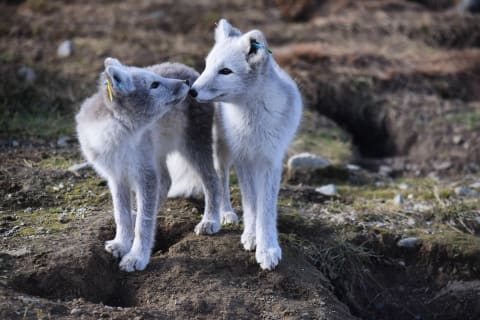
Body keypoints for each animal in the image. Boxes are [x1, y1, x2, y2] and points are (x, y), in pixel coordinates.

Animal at [76, 58, 230, 272]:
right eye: (154, 84)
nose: (186, 84)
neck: (119, 134)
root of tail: (190, 70)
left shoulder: (145, 175)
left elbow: (144, 223)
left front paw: (136, 257)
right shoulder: (117, 177)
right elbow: (121, 215)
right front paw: (121, 243)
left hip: (193, 147)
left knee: (212, 181)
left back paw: (210, 221)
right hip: (156, 156)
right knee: (166, 182)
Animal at [189, 19, 302, 270]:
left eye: (225, 71)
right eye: (207, 66)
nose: (191, 91)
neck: (252, 120)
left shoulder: (270, 161)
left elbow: (266, 208)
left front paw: (268, 248)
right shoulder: (243, 159)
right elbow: (251, 203)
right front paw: (251, 236)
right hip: (222, 149)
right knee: (220, 180)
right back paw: (223, 214)